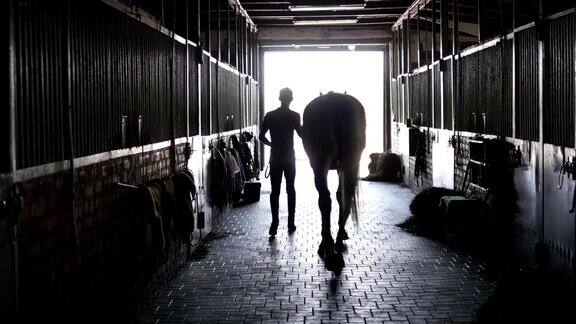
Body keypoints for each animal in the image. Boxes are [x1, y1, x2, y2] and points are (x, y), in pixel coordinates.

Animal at [302, 92, 364, 258]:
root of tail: (336, 101)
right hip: (351, 161)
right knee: (344, 196)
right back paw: (338, 239)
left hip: (320, 163)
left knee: (325, 199)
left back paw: (327, 243)